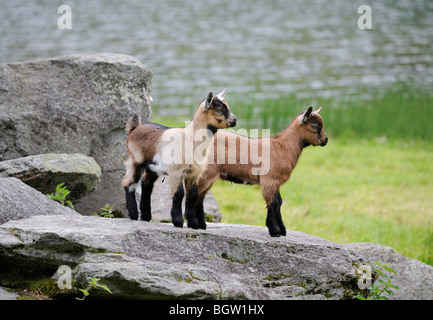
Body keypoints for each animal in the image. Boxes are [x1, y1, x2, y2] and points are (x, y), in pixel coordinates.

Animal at [121, 89, 236, 229]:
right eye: (219, 109)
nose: (235, 120)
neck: (190, 139)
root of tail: (134, 129)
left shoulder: (194, 173)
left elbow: (192, 195)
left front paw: (193, 223)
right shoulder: (176, 171)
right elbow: (179, 194)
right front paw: (178, 221)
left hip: (152, 167)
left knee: (146, 185)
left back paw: (146, 217)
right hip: (135, 160)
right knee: (128, 183)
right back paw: (133, 214)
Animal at [190, 106, 328, 236]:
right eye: (314, 126)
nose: (325, 140)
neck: (282, 147)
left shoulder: (275, 182)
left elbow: (279, 202)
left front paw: (282, 230)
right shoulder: (269, 180)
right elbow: (274, 202)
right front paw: (275, 230)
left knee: (200, 196)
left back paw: (201, 225)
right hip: (206, 172)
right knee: (194, 192)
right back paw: (193, 223)